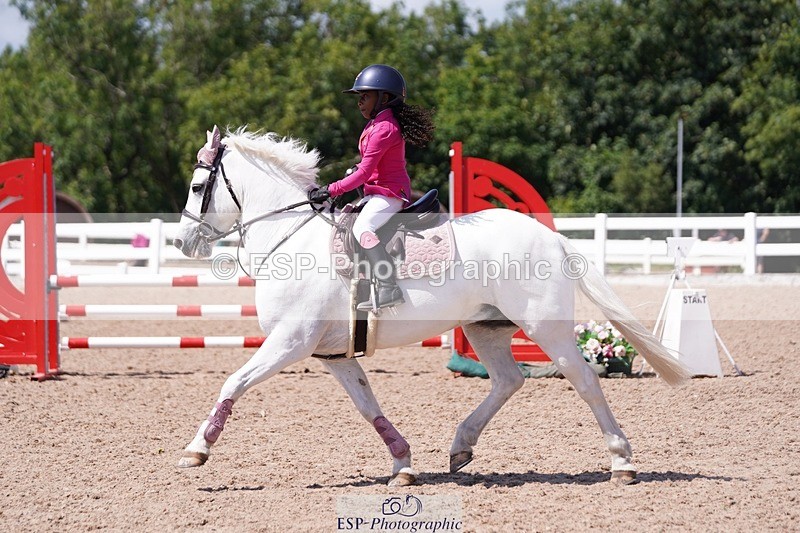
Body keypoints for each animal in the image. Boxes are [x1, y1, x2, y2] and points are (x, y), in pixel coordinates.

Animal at [173, 126, 690, 486]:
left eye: (198, 188)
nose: (181, 243)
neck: (290, 237)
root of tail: (551, 237)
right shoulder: (333, 354)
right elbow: (369, 406)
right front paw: (402, 463)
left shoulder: (290, 343)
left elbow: (233, 382)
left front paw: (197, 449)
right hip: (485, 328)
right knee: (509, 380)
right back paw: (461, 446)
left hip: (547, 328)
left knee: (583, 380)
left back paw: (621, 462)